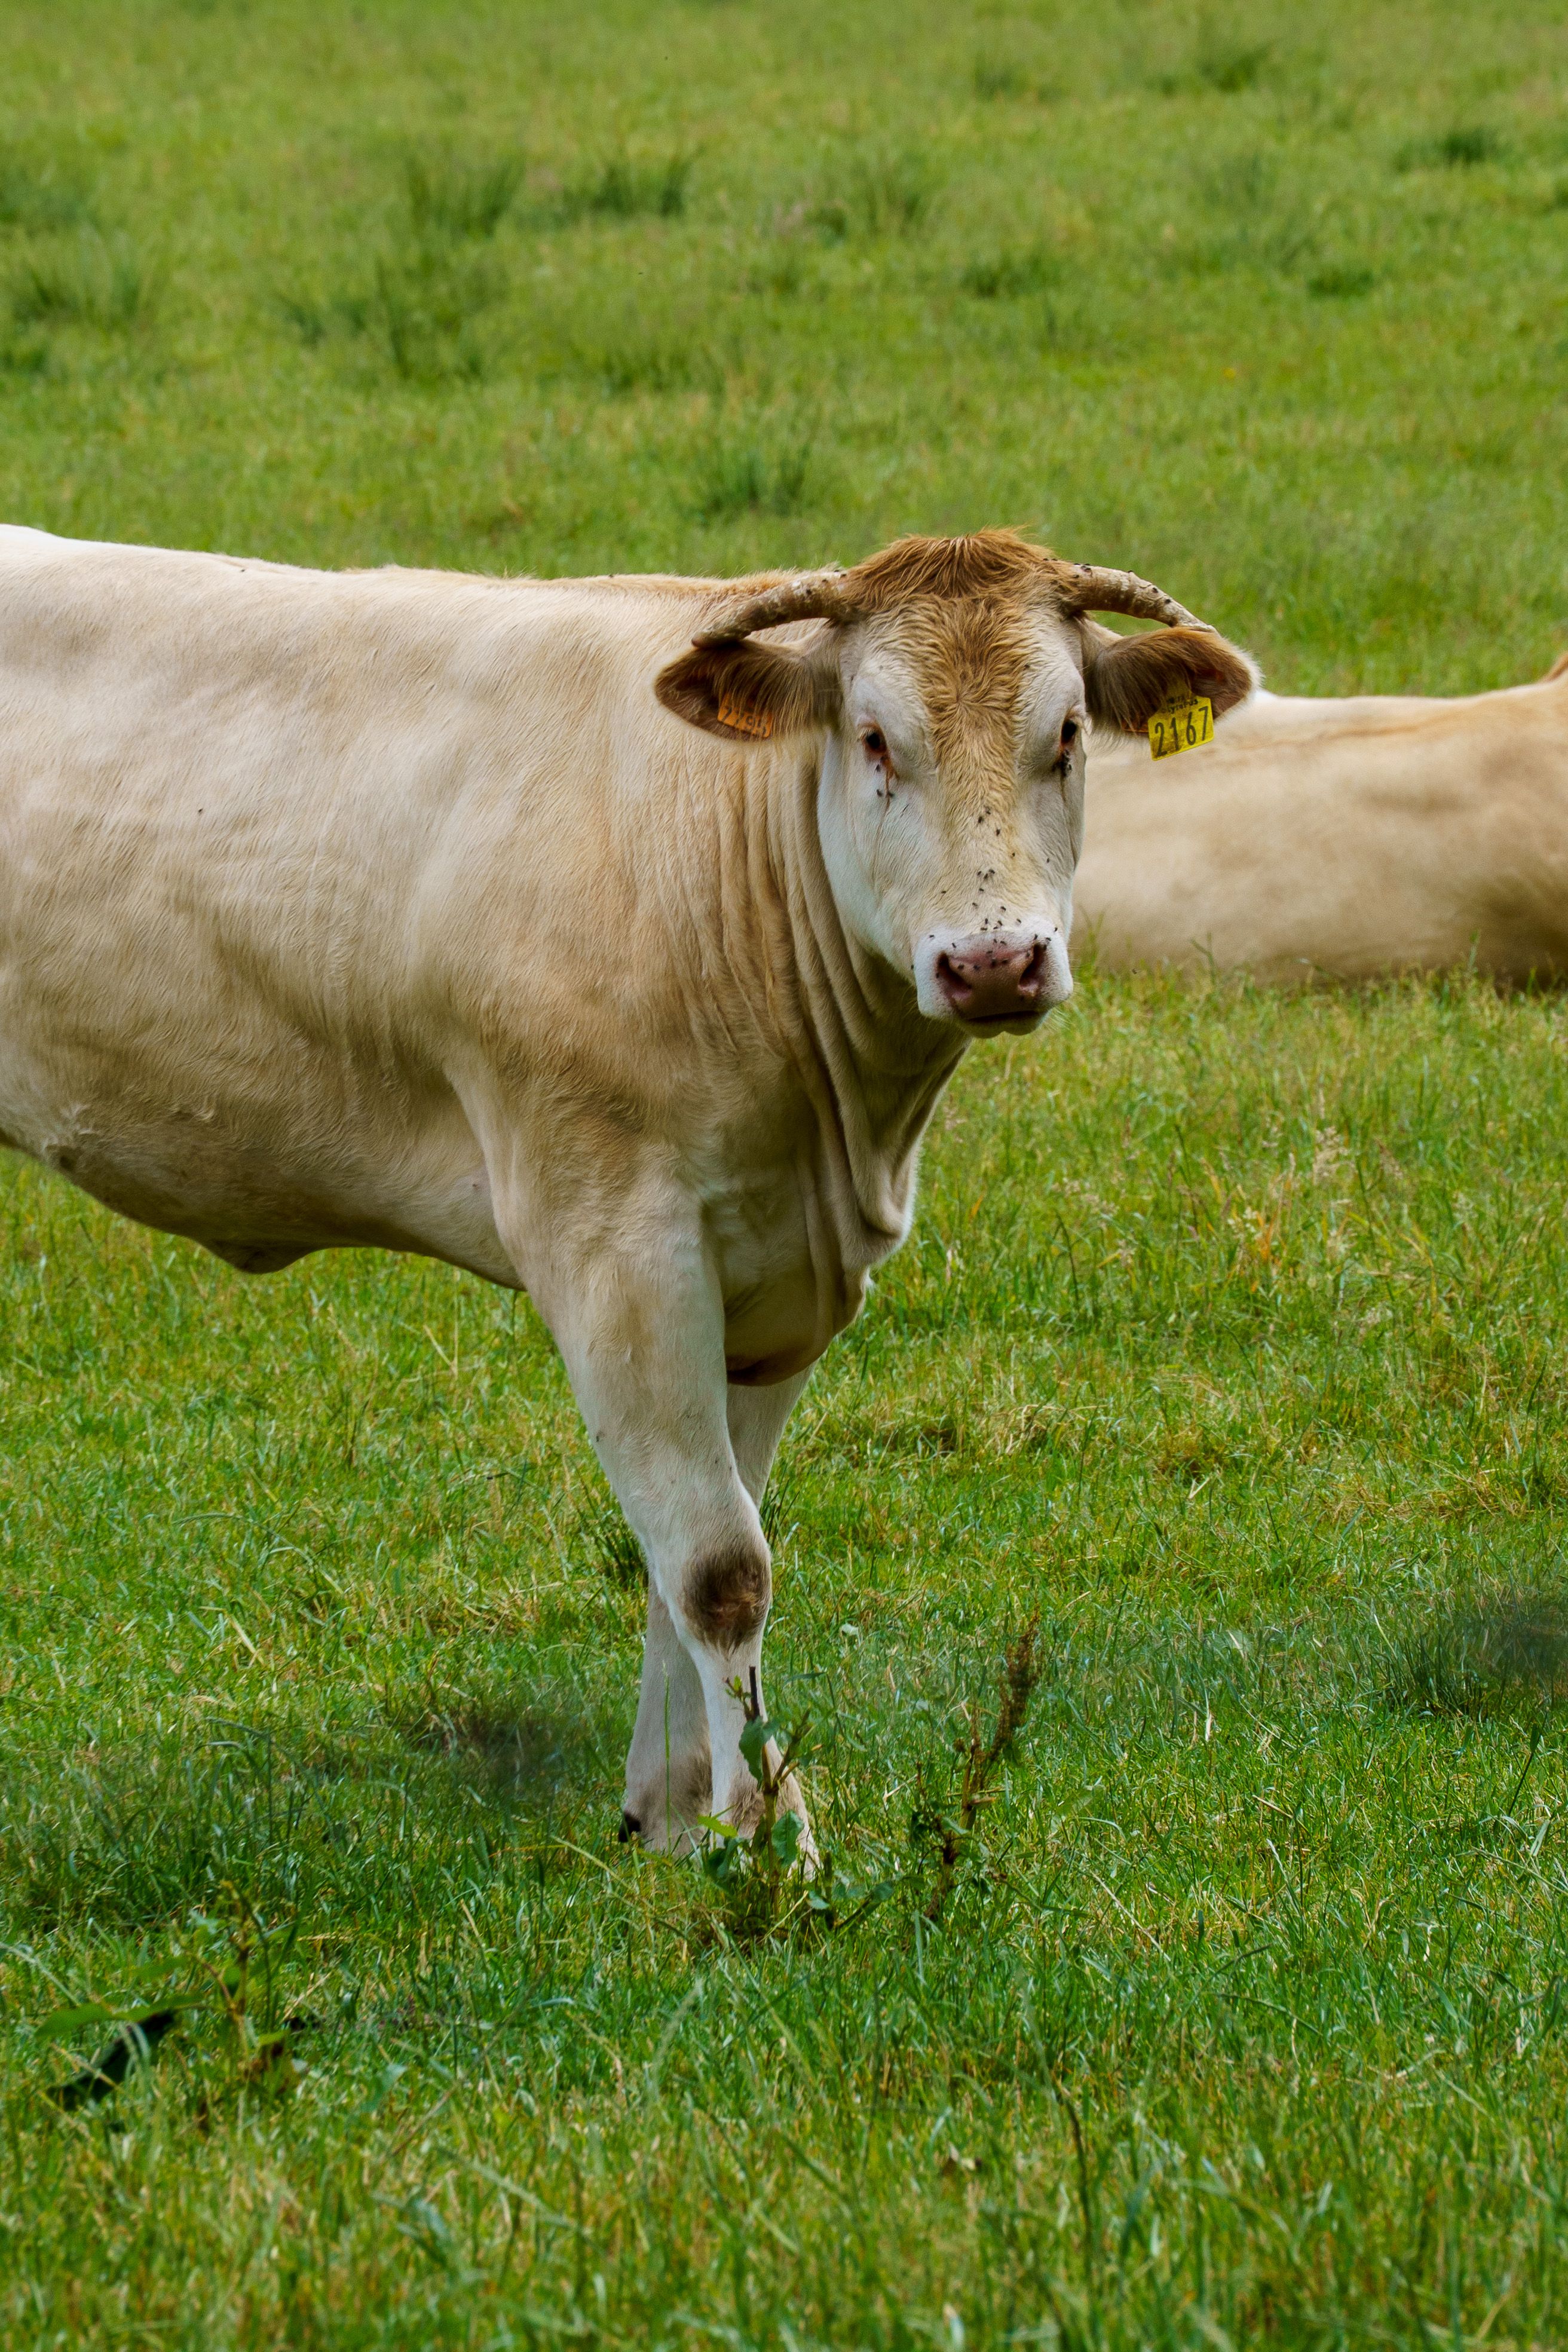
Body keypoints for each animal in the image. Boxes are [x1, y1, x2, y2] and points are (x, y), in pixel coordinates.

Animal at [0, 524, 1254, 1854]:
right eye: (873, 737)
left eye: (1064, 732)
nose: (994, 963)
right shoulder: (612, 1246)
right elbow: (718, 1566)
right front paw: (778, 1837)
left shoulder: (772, 1273)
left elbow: (694, 1546)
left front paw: (682, 1820)